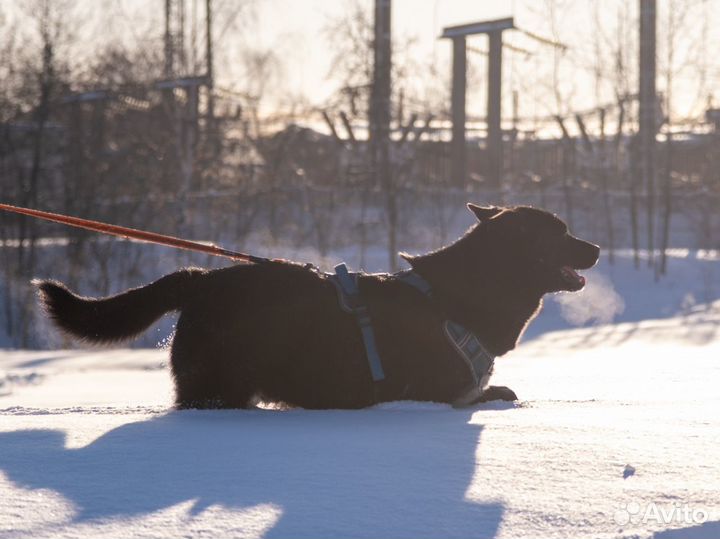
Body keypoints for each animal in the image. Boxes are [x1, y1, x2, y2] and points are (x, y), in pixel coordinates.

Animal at [35, 206, 596, 410]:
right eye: (561, 233)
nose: (593, 249)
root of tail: (201, 280)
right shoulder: (433, 395)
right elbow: (492, 394)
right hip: (217, 389)